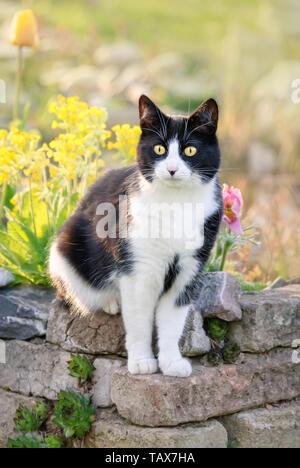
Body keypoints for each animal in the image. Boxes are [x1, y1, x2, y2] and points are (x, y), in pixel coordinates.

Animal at [49, 95, 223, 376]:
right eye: (159, 149)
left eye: (190, 151)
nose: (172, 169)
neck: (175, 202)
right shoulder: (138, 268)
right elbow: (139, 320)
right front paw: (142, 361)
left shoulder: (189, 268)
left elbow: (172, 321)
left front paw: (171, 363)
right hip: (65, 248)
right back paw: (111, 300)